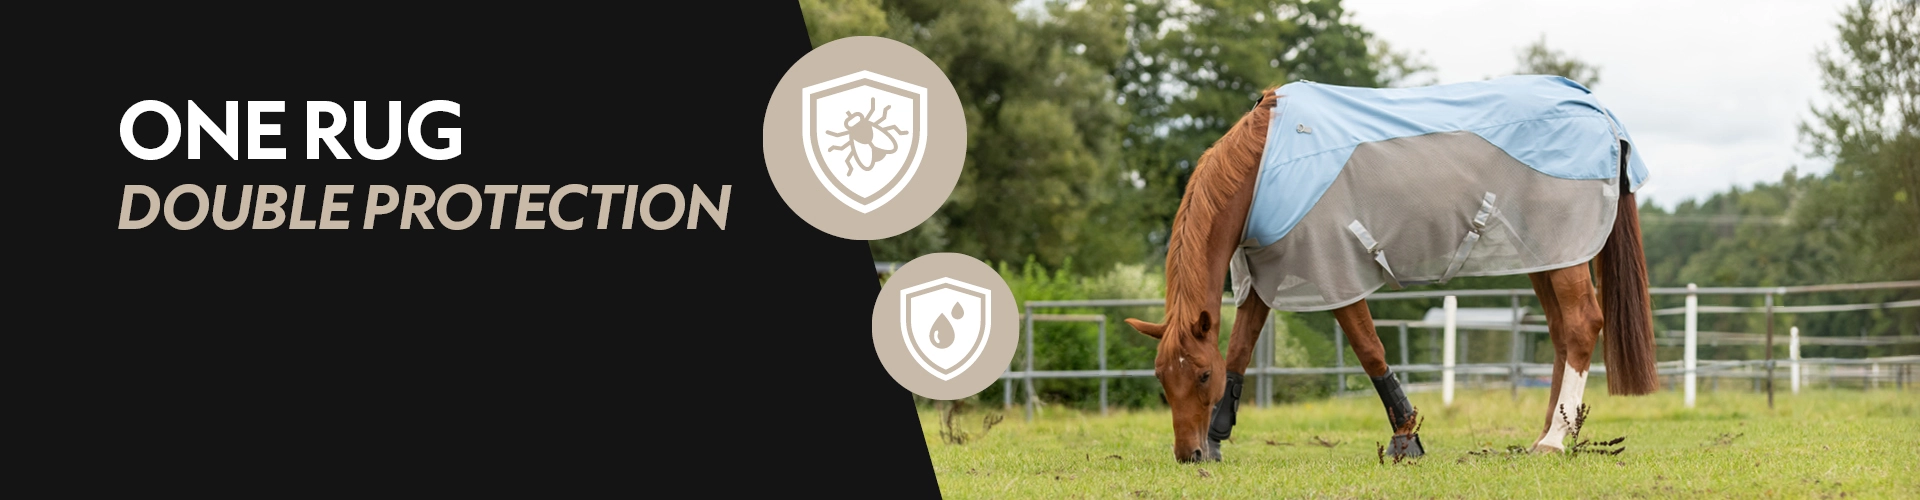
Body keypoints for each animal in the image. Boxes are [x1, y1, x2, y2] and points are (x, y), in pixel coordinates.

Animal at [1123, 75, 1660, 463]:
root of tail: (1599, 113)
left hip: (1565, 255)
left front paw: (1406, 437)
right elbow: (1238, 352)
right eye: (1161, 379)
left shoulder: (1334, 273)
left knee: (1581, 324)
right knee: (1562, 333)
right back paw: (1547, 434)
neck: (1266, 166)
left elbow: (1370, 350)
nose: (1188, 455)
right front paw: (1218, 438)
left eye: (1199, 376)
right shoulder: (1263, 278)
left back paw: (1553, 440)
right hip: (1548, 256)